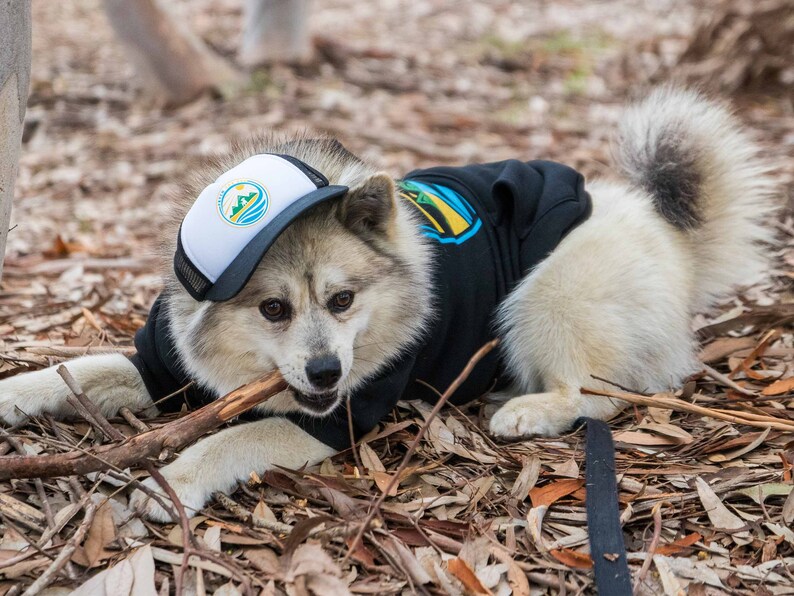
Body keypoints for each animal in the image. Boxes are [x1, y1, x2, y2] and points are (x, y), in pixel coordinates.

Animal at [0, 86, 776, 520]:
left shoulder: (332, 421)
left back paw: (523, 409)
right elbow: (81, 369)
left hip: (544, 296)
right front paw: (15, 392)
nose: (324, 374)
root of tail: (666, 228)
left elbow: (226, 437)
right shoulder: (160, 370)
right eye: (273, 310)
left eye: (343, 300)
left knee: (601, 397)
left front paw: (173, 481)